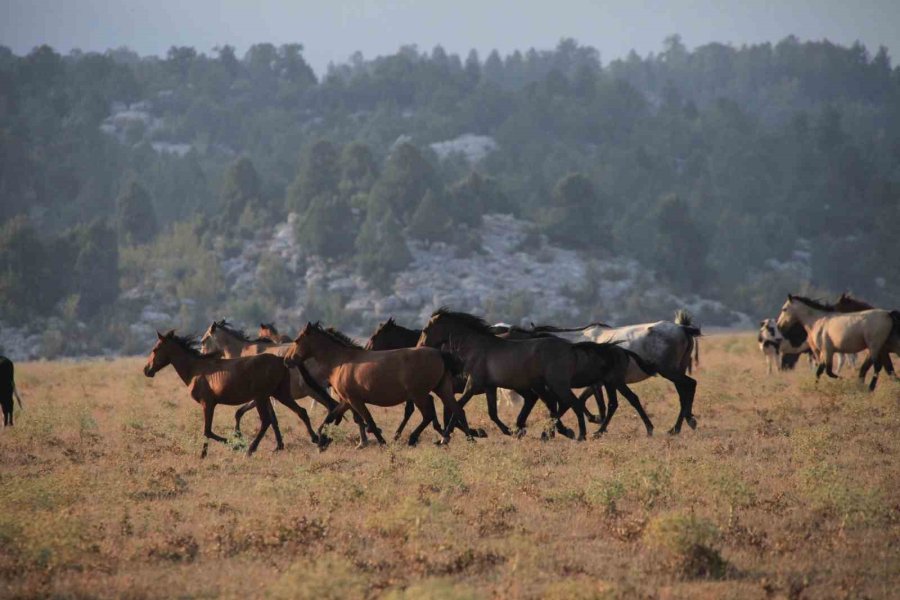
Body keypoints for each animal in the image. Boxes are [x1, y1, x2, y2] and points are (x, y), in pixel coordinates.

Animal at [144, 330, 320, 458]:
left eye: (155, 349)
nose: (147, 370)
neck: (196, 370)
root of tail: (281, 360)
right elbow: (208, 431)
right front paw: (205, 454)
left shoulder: (207, 403)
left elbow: (207, 431)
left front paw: (235, 445)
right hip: (279, 394)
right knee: (300, 412)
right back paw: (317, 441)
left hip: (262, 397)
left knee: (266, 421)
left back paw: (250, 449)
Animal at [284, 322, 478, 448]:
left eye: (297, 340)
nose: (287, 360)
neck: (341, 361)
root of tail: (439, 353)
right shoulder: (346, 401)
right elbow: (330, 417)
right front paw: (321, 440)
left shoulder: (355, 400)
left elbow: (368, 419)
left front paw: (382, 442)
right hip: (442, 389)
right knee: (457, 410)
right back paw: (468, 438)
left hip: (419, 395)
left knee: (429, 415)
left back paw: (414, 438)